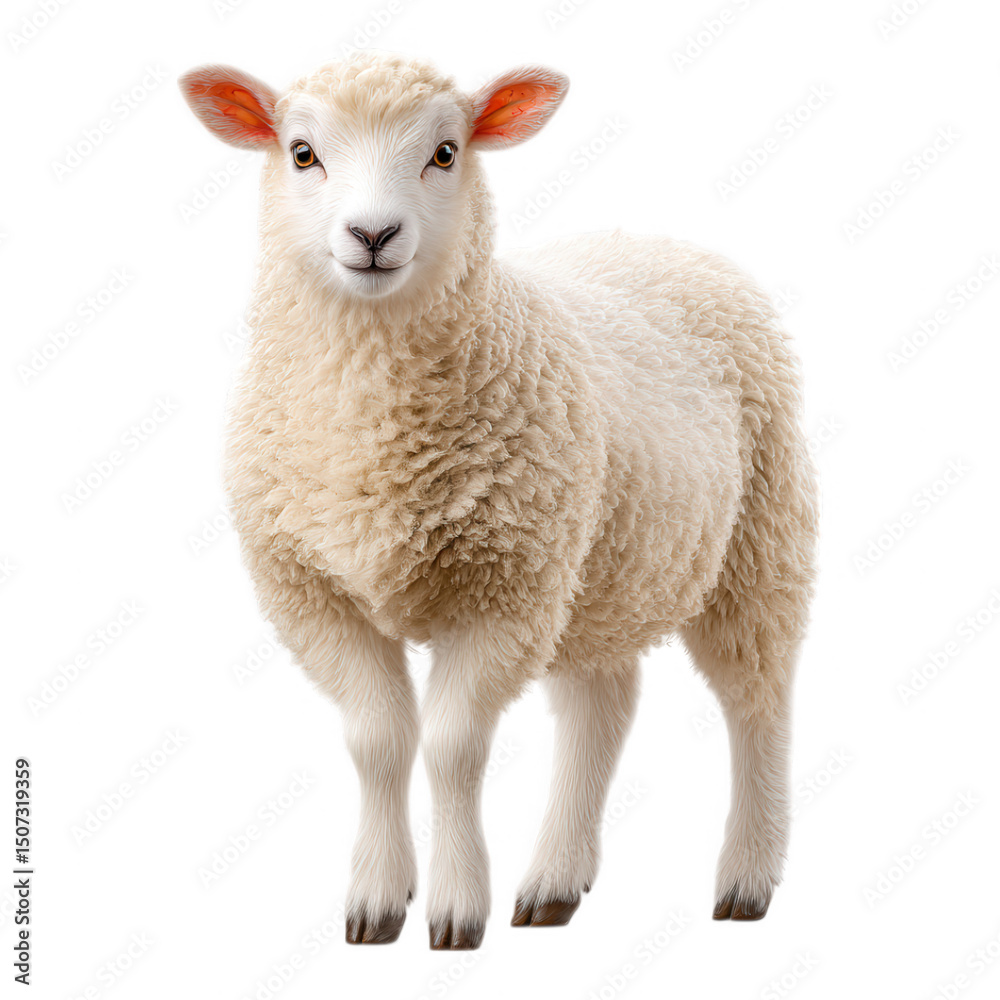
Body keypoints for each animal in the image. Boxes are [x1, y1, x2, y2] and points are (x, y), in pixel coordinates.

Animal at [179, 50, 818, 950]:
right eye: (302, 153)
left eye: (445, 153)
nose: (372, 236)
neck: (372, 436)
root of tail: (659, 242)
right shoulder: (311, 590)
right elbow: (377, 741)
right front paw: (377, 901)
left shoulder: (502, 590)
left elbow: (451, 747)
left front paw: (455, 910)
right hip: (596, 569)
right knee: (602, 706)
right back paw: (555, 883)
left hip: (759, 537)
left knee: (757, 700)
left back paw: (747, 880)